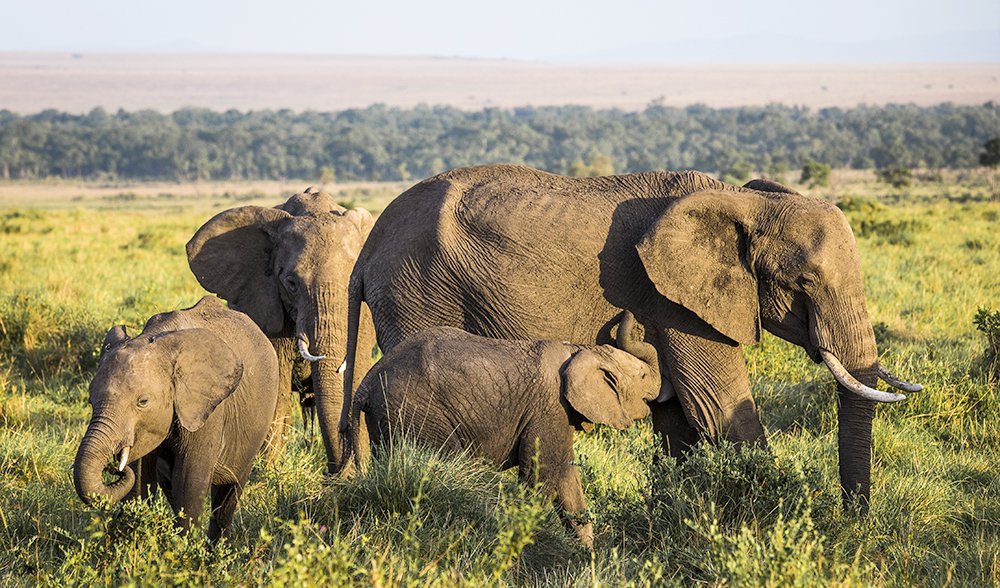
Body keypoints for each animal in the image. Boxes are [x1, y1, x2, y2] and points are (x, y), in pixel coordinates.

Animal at [73, 296, 280, 540]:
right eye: (90, 400)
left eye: (142, 401)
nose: (115, 469)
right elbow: (141, 479)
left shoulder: (207, 410)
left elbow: (190, 483)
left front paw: (183, 547)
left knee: (228, 493)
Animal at [188, 188, 376, 474]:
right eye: (291, 283)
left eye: (352, 281)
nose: (333, 473)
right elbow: (277, 387)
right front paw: (269, 474)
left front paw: (360, 473)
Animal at [344, 163, 920, 508]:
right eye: (804, 282)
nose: (853, 521)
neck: (741, 201)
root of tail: (366, 250)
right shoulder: (675, 301)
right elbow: (714, 404)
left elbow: (680, 414)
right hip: (418, 291)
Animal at [348, 312, 660, 548]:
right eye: (644, 375)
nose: (626, 313)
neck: (579, 350)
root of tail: (366, 382)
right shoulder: (549, 408)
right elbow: (541, 474)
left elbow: (567, 480)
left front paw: (588, 558)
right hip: (416, 411)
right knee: (446, 466)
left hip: (389, 416)